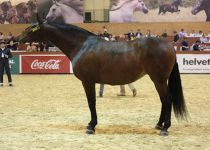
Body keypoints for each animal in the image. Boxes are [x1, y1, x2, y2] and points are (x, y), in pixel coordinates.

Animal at [16, 16, 187, 136]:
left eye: (31, 29)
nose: (17, 40)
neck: (82, 45)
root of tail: (169, 45)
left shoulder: (87, 81)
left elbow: (91, 102)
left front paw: (91, 126)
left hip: (159, 79)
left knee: (167, 100)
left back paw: (165, 128)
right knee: (164, 101)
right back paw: (159, 125)